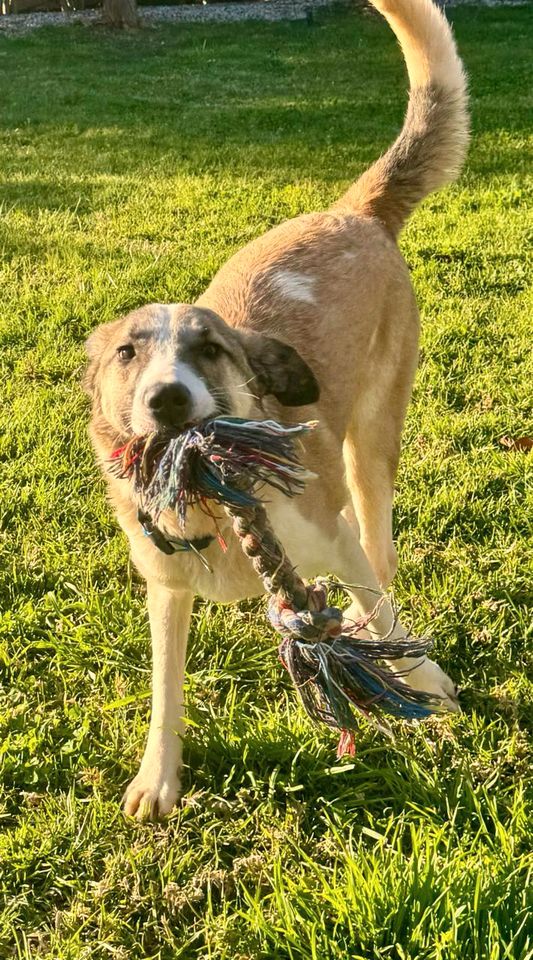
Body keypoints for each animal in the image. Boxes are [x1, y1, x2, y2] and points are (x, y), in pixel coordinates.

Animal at [83, 0, 466, 820]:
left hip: (372, 442)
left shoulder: (328, 537)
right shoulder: (166, 589)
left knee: (379, 545)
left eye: (209, 348)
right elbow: (164, 689)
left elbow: (381, 607)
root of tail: (353, 212)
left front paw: (422, 678)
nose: (167, 399)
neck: (212, 508)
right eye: (128, 353)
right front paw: (157, 779)